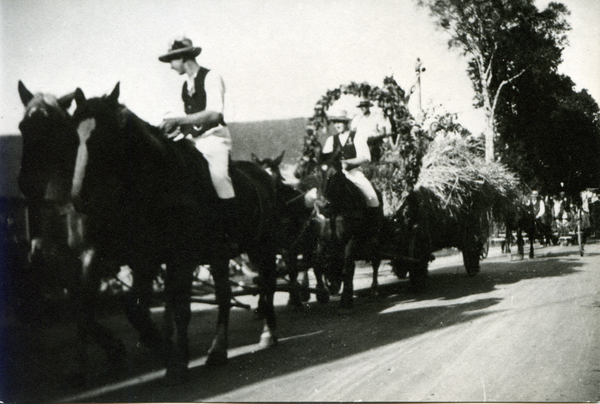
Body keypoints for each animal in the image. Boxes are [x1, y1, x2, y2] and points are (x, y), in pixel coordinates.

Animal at [69, 83, 278, 384]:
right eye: (75, 135)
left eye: (103, 135)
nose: (79, 198)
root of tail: (264, 175)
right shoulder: (143, 259)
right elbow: (135, 307)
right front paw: (170, 353)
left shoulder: (180, 257)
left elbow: (178, 309)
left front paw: (175, 358)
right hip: (220, 256)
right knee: (225, 294)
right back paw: (217, 350)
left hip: (263, 248)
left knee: (268, 285)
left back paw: (267, 334)